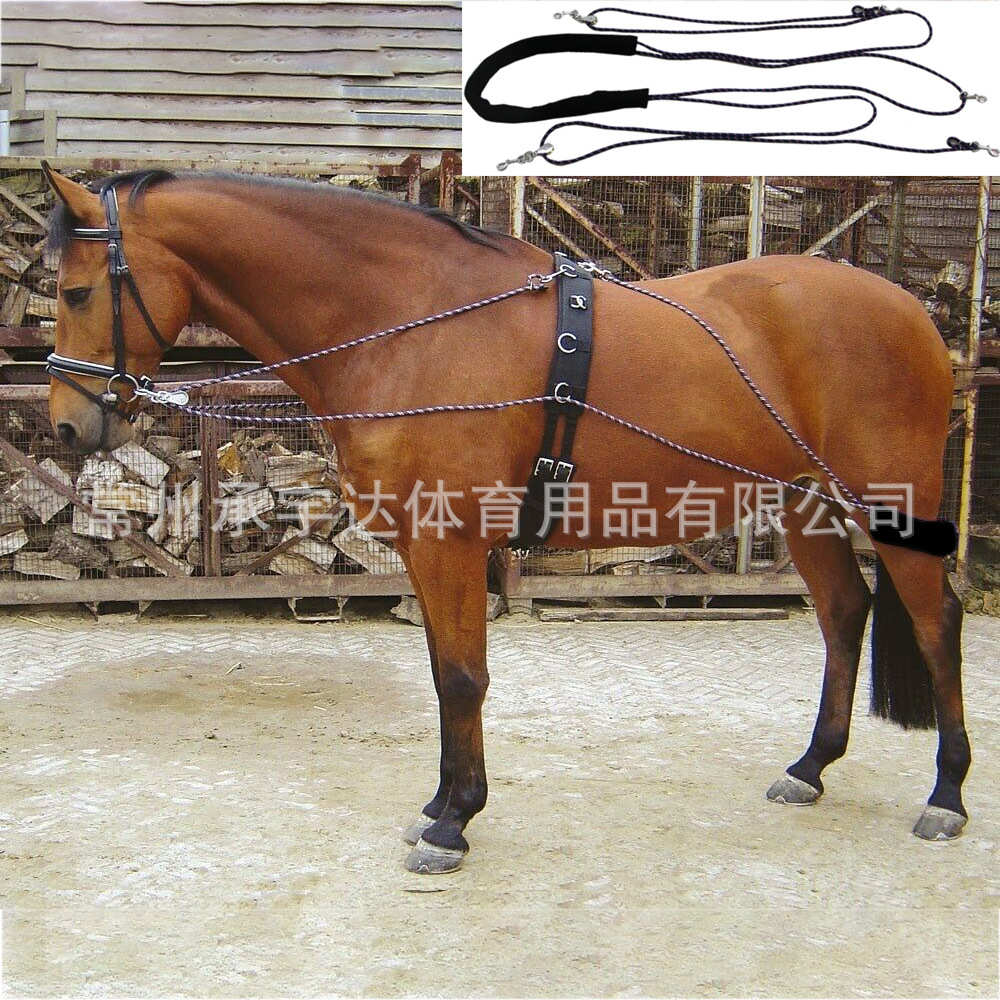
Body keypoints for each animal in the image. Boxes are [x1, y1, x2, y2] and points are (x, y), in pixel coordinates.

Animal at [40, 165, 970, 874]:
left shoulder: (450, 540)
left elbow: (462, 678)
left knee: (936, 623)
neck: (406, 324)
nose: (67, 426)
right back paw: (810, 768)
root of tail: (914, 313)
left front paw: (454, 824)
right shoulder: (424, 546)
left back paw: (947, 795)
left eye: (77, 290)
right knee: (845, 613)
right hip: (805, 500)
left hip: (890, 505)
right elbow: (442, 671)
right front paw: (439, 804)